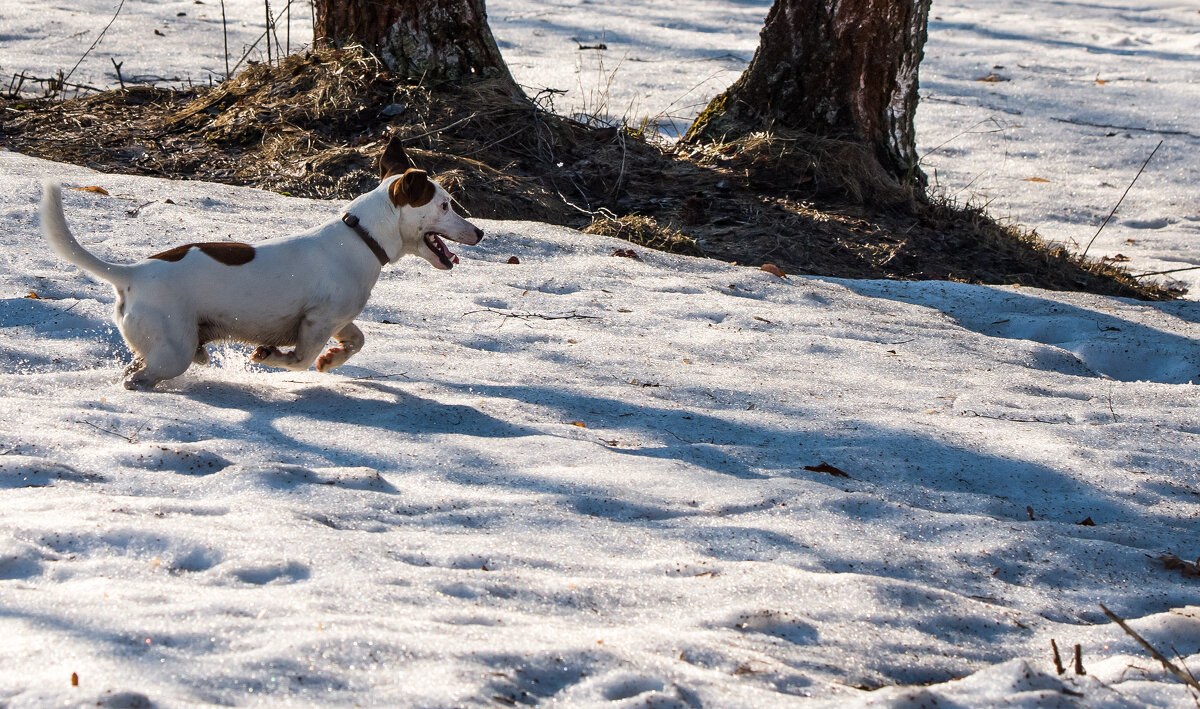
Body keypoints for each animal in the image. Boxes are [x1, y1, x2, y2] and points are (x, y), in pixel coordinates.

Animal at [39, 136, 484, 391]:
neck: (362, 236)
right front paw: (273, 357)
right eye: (445, 204)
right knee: (141, 376)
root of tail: (131, 275)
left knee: (138, 364)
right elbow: (299, 359)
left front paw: (332, 359)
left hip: (161, 342)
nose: (480, 232)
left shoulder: (340, 318)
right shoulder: (317, 320)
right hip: (172, 347)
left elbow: (355, 340)